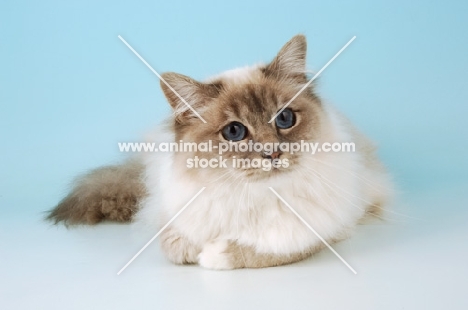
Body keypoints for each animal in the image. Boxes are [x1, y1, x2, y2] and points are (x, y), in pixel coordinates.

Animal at [46, 35, 392, 270]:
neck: (250, 195)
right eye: (234, 132)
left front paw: (214, 254)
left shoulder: (326, 230)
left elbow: (268, 250)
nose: (272, 154)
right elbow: (172, 240)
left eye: (284, 119)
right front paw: (187, 247)